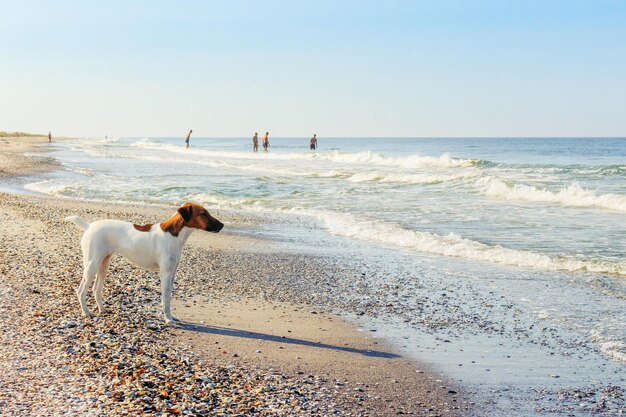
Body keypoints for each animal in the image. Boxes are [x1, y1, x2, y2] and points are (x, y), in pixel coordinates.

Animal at [65, 203, 222, 324]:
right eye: (203, 213)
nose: (222, 225)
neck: (173, 235)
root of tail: (89, 226)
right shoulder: (165, 275)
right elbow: (166, 300)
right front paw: (168, 318)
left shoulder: (172, 274)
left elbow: (168, 298)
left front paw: (170, 316)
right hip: (92, 265)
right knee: (81, 291)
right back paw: (86, 313)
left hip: (103, 265)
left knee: (95, 289)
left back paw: (102, 309)